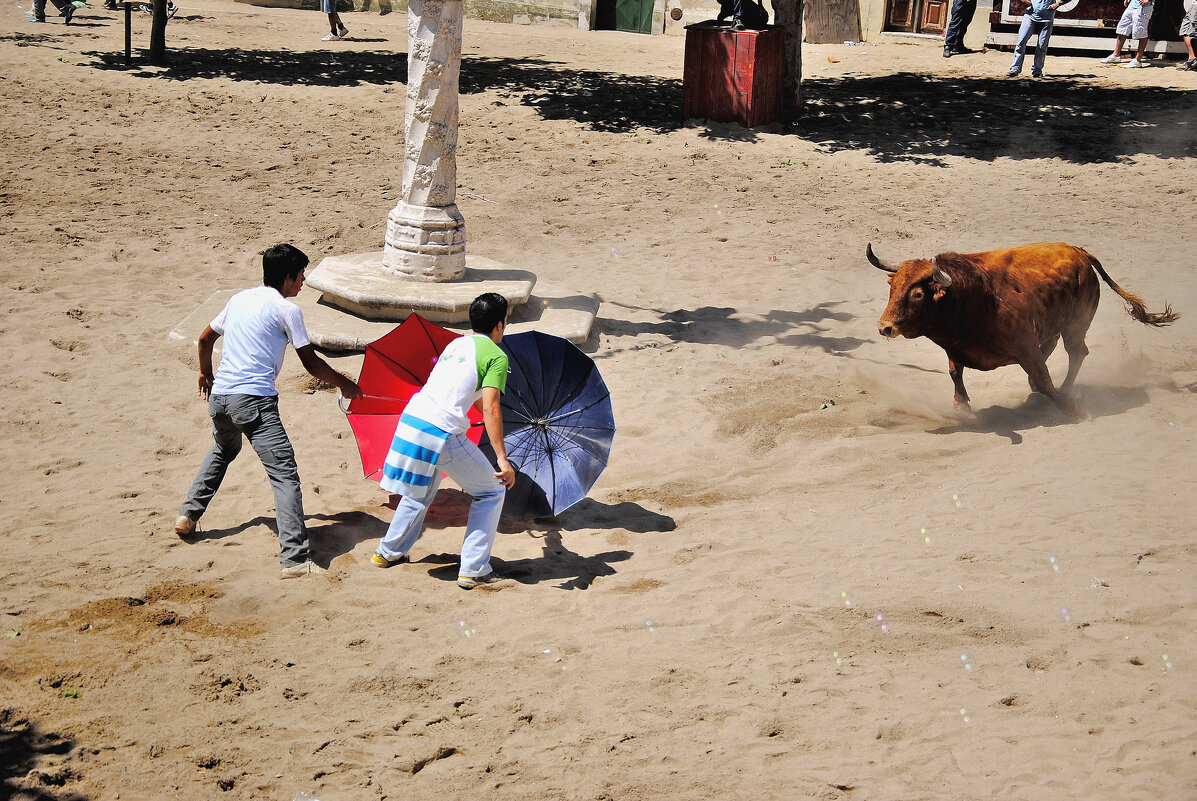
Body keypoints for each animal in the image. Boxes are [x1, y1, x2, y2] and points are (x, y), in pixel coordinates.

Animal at [871, 240, 1177, 416]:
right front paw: (961, 405)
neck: (971, 297)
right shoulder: (955, 347)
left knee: (1077, 352)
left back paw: (1067, 392)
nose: (885, 327)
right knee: (1054, 344)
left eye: (917, 294)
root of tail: (1080, 252)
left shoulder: (1025, 347)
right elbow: (954, 373)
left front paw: (1071, 408)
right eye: (892, 286)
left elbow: (1043, 379)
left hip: (1076, 325)